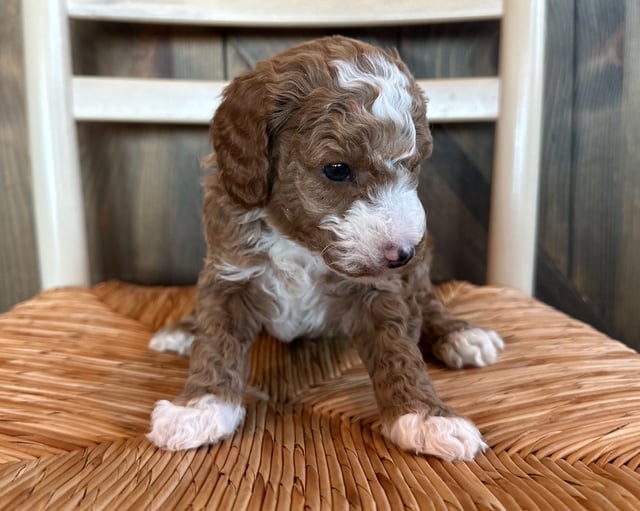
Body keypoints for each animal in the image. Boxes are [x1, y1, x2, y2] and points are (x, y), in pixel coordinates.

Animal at [146, 34, 504, 462]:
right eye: (337, 170)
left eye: (415, 166)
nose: (402, 254)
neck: (299, 241)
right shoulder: (229, 272)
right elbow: (216, 339)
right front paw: (200, 407)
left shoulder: (380, 289)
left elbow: (398, 348)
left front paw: (425, 416)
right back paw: (183, 330)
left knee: (427, 301)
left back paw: (460, 335)